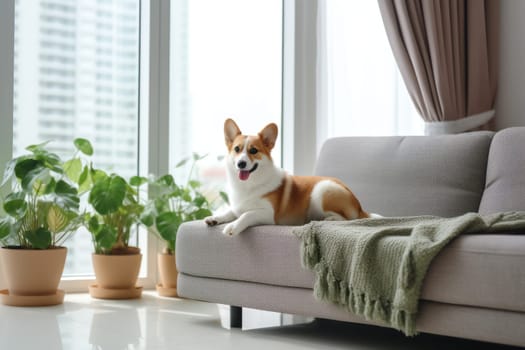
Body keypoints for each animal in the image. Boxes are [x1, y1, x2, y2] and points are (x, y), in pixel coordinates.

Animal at [203, 119, 370, 237]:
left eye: (253, 150)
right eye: (237, 149)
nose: (241, 163)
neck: (250, 184)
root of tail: (360, 207)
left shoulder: (267, 214)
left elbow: (247, 214)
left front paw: (233, 226)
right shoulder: (238, 206)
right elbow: (230, 212)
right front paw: (215, 218)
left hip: (323, 189)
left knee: (348, 219)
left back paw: (328, 220)